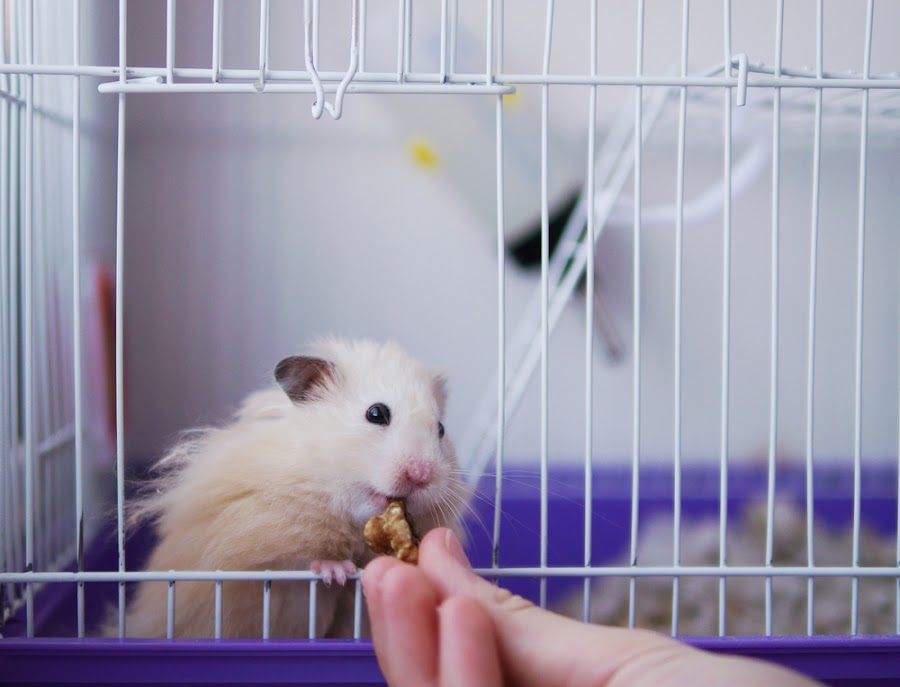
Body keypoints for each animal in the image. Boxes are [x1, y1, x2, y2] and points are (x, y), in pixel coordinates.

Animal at [103, 338, 470, 639]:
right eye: (376, 413)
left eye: (440, 429)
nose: (421, 475)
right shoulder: (255, 541)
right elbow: (295, 561)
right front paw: (337, 572)